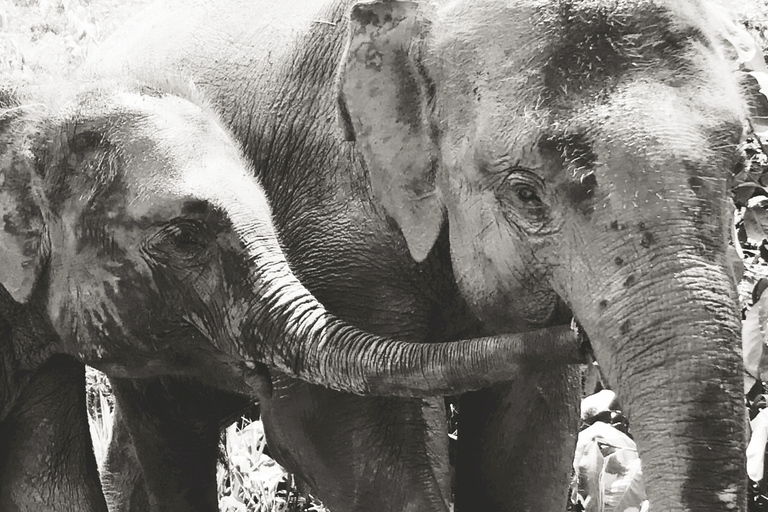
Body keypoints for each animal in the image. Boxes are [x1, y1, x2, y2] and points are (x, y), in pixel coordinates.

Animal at [69, 0, 752, 510]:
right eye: (526, 193)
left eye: (739, 164)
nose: (583, 340)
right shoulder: (327, 236)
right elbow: (339, 430)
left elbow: (526, 441)